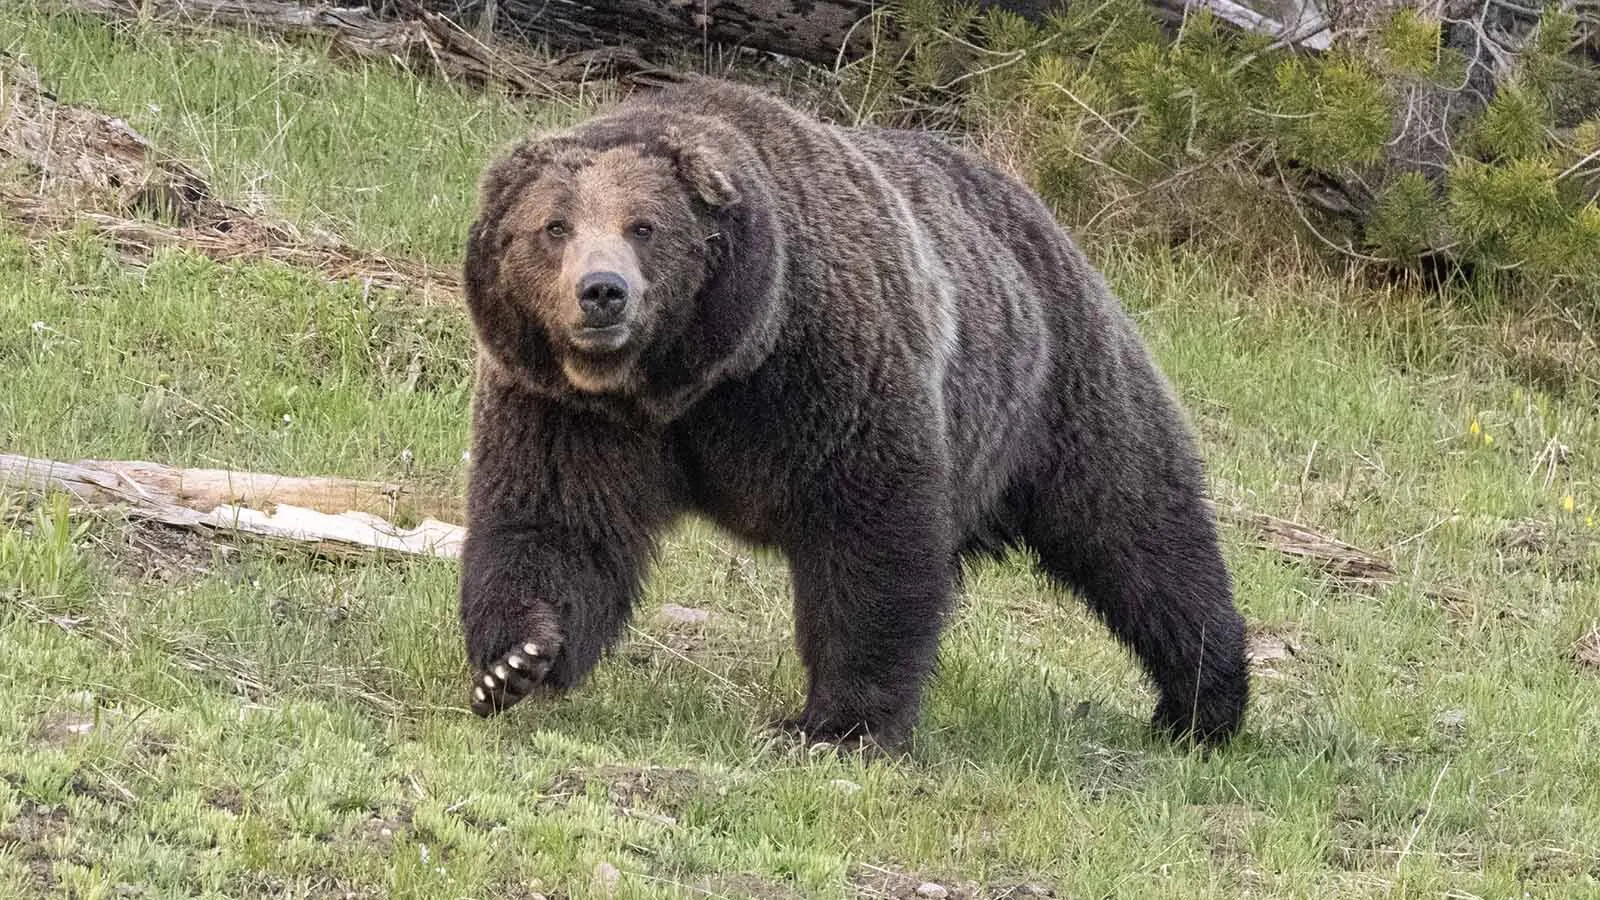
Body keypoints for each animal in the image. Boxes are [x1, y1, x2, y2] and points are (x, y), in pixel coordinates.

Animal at [457, 76, 1249, 751]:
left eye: (644, 225)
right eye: (554, 226)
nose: (602, 292)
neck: (691, 378)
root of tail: (1040, 213)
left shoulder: (824, 371)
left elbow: (869, 538)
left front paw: (841, 725)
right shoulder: (571, 412)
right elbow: (559, 524)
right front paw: (515, 661)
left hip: (1060, 386)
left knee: (1138, 530)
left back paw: (1204, 704)